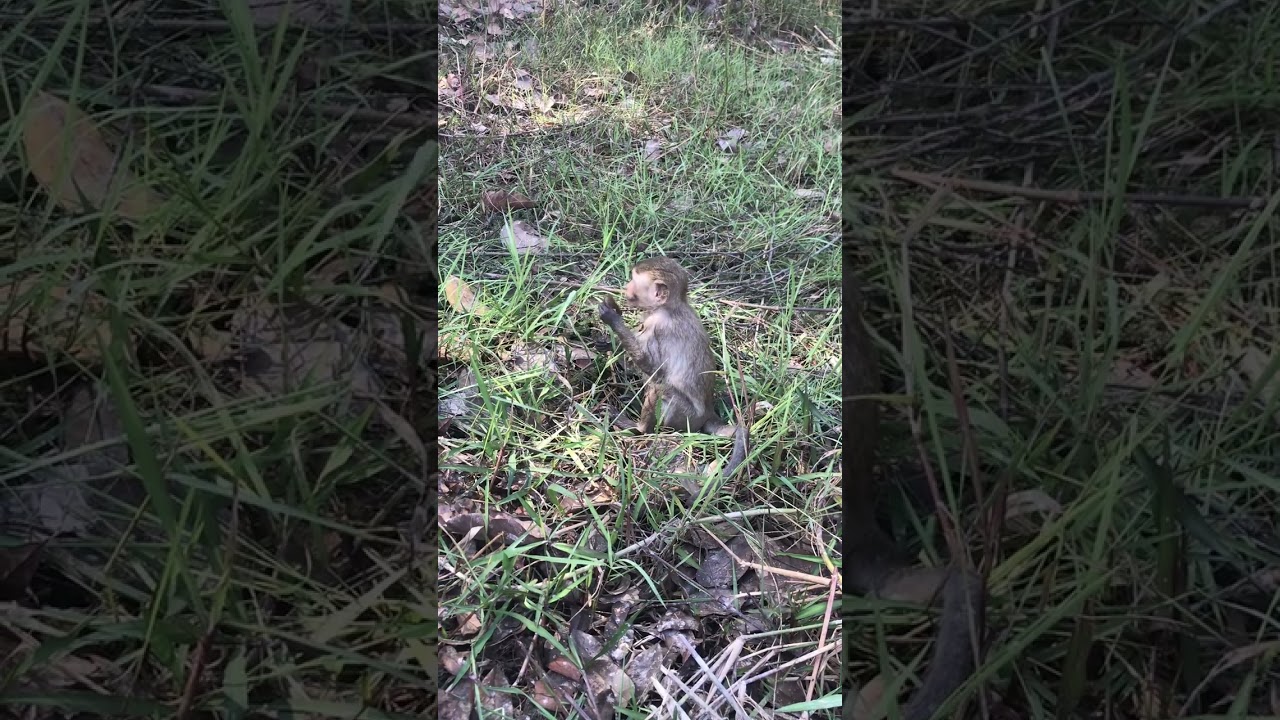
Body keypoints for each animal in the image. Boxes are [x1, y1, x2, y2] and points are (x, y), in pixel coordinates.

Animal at [597, 256, 749, 478]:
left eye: (634, 281)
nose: (626, 286)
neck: (670, 307)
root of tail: (709, 413)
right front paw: (609, 343)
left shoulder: (659, 327)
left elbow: (654, 369)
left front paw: (613, 319)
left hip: (685, 417)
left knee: (659, 389)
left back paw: (638, 428)